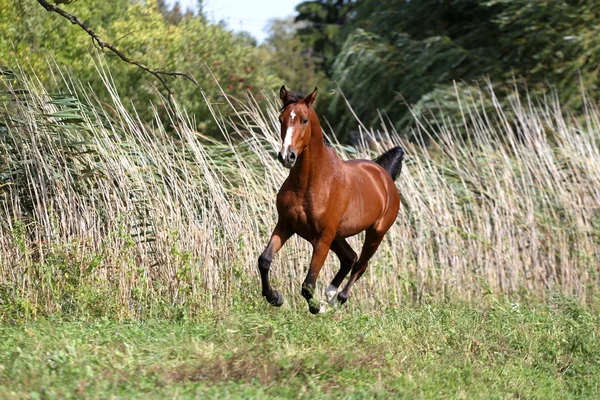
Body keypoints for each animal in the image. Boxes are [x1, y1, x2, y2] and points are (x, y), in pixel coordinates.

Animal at [258, 86, 404, 314]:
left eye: (304, 120)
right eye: (281, 119)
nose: (287, 156)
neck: (312, 182)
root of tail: (384, 175)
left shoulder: (323, 237)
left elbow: (308, 284)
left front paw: (317, 308)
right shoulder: (286, 225)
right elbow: (264, 259)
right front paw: (275, 297)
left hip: (375, 233)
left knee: (360, 264)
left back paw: (337, 298)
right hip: (335, 236)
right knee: (350, 257)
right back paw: (330, 292)